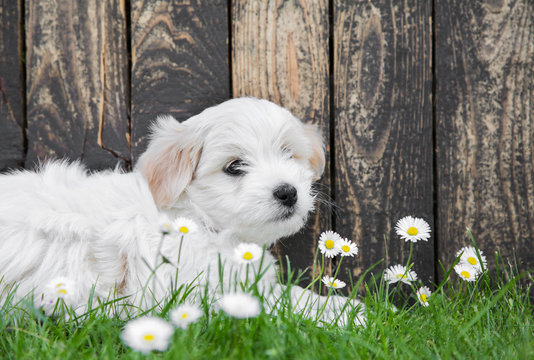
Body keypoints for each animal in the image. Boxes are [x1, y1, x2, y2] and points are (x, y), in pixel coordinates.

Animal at [0, 97, 362, 320]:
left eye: (288, 153)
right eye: (234, 167)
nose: (288, 192)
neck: (200, 221)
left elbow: (293, 295)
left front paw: (351, 309)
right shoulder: (195, 294)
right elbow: (279, 308)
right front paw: (347, 319)